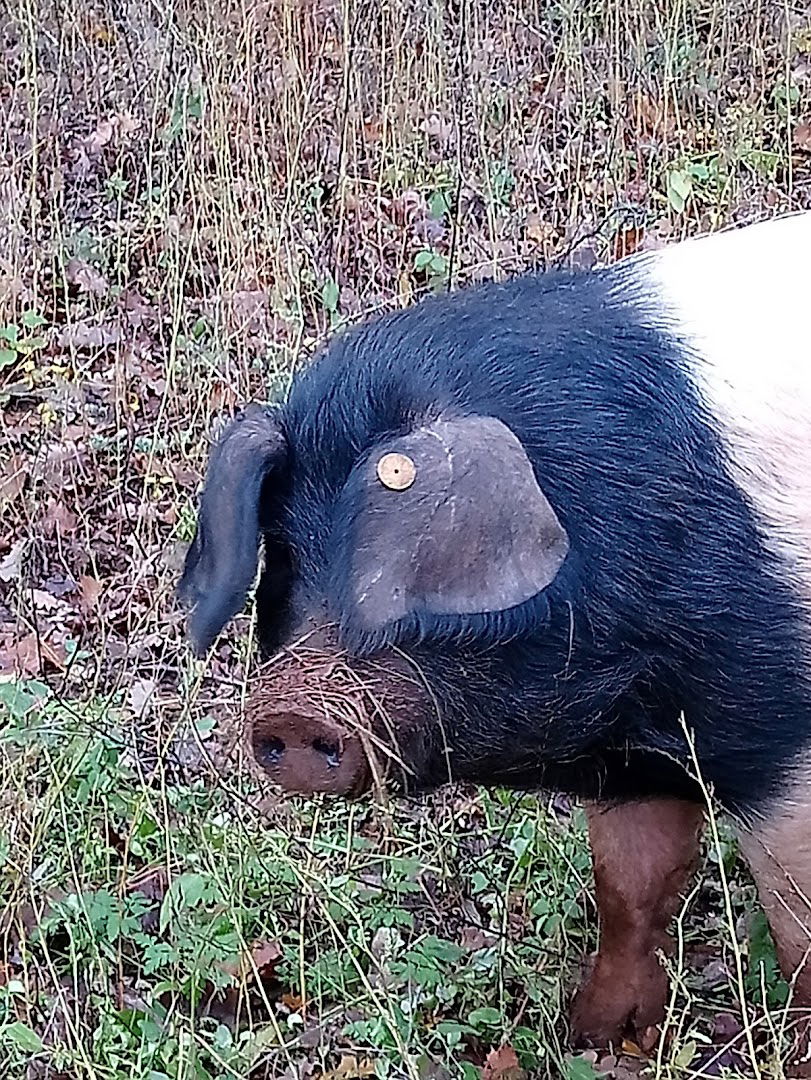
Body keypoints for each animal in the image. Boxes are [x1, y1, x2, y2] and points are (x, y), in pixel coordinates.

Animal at [179, 210, 811, 1071]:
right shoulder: (641, 760)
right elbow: (629, 888)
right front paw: (596, 1039)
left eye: (402, 560)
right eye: (281, 548)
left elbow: (797, 931)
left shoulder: (778, 744)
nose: (292, 710)